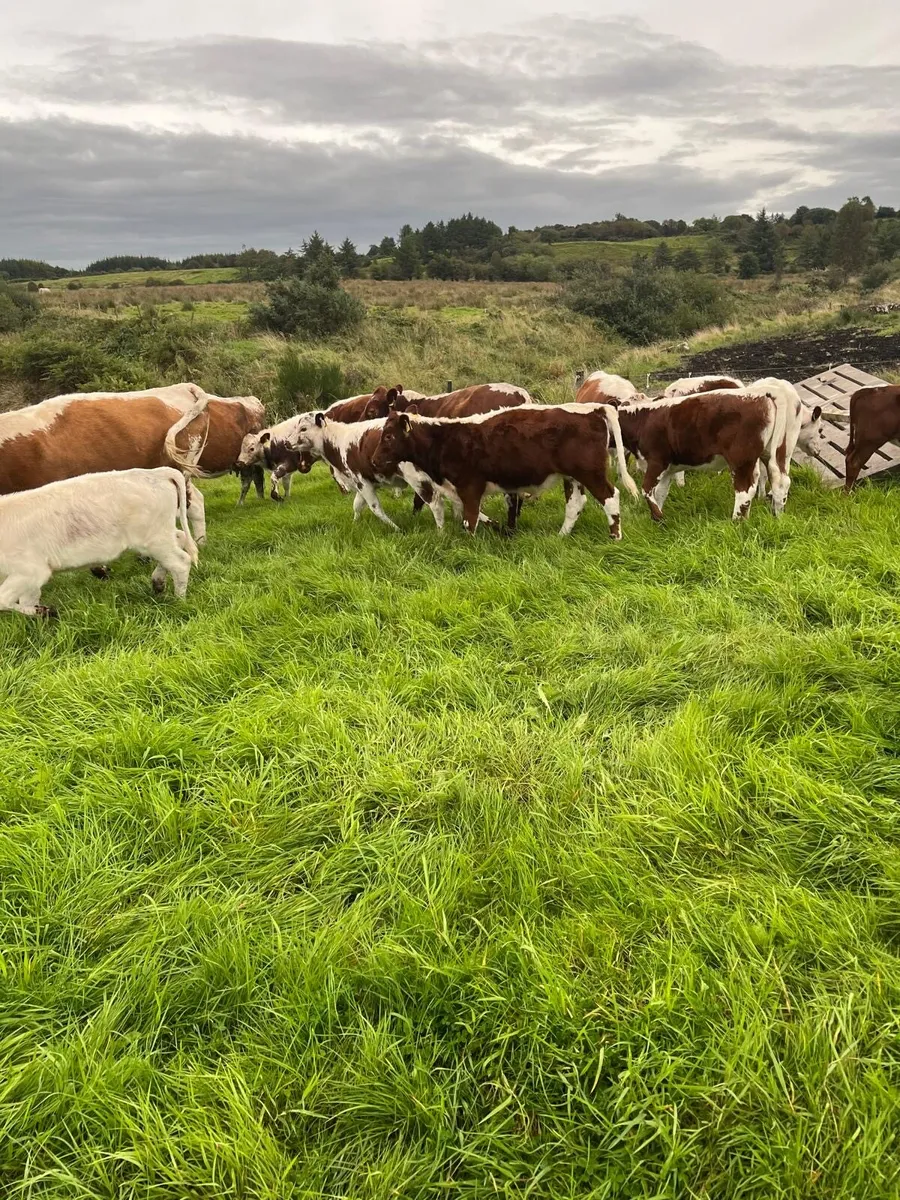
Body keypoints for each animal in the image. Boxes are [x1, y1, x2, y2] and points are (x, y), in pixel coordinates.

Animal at [0, 467, 198, 618]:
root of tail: (157, 472)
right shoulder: (28, 578)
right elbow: (29, 599)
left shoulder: (31, 570)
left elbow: (3, 600)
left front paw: (46, 611)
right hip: (160, 535)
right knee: (180, 539)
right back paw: (158, 583)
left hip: (154, 538)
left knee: (180, 562)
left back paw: (179, 601)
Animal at [370, 403, 639, 538]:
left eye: (389, 436)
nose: (373, 460)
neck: (446, 439)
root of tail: (594, 410)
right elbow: (477, 516)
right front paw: (500, 528)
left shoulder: (470, 486)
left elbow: (469, 520)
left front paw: (469, 545)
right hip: (572, 477)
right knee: (575, 504)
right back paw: (561, 536)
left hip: (591, 473)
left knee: (610, 497)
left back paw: (615, 536)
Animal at [614, 378, 803, 521]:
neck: (643, 420)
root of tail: (764, 392)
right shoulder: (668, 469)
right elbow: (660, 493)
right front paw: (657, 519)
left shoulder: (656, 461)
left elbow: (646, 490)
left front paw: (659, 518)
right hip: (777, 452)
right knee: (780, 482)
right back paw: (777, 516)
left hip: (741, 458)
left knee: (745, 489)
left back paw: (737, 521)